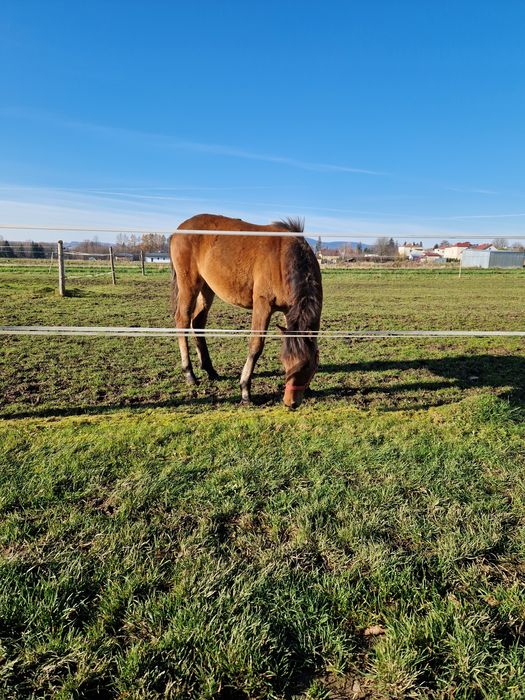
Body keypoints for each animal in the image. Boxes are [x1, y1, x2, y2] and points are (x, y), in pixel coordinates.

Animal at [170, 216, 322, 408]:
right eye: (285, 362)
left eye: (308, 366)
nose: (290, 403)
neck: (283, 257)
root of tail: (179, 230)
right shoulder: (263, 306)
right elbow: (255, 346)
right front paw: (245, 390)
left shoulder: (289, 312)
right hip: (189, 285)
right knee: (182, 320)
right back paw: (189, 373)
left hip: (207, 289)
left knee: (197, 322)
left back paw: (210, 370)